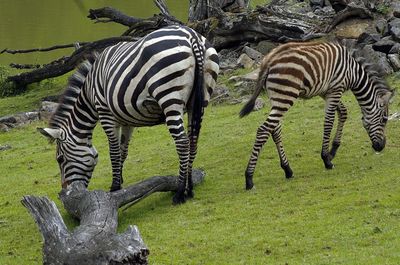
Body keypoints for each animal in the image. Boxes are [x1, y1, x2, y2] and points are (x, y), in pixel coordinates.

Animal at [38, 25, 219, 203]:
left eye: (60, 159)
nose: (64, 193)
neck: (89, 91)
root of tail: (191, 36)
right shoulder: (127, 120)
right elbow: (123, 152)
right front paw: (120, 182)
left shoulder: (105, 114)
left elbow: (114, 152)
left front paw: (114, 187)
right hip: (199, 101)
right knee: (193, 141)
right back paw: (190, 188)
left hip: (169, 97)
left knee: (182, 142)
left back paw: (180, 192)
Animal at [241, 41, 394, 189]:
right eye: (384, 119)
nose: (381, 147)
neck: (354, 72)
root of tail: (268, 60)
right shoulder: (336, 90)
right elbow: (329, 121)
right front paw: (326, 159)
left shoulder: (326, 92)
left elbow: (343, 112)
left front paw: (333, 150)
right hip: (286, 95)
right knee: (263, 130)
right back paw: (249, 178)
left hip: (276, 97)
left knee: (275, 129)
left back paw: (288, 169)